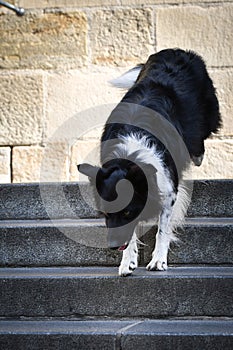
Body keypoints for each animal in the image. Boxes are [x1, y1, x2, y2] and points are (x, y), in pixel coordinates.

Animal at [78, 47, 220, 276]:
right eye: (106, 213)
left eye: (126, 211)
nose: (112, 247)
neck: (131, 153)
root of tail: (176, 50)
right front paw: (127, 261)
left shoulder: (168, 189)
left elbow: (162, 229)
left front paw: (158, 261)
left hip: (206, 113)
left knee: (200, 136)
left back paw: (197, 156)